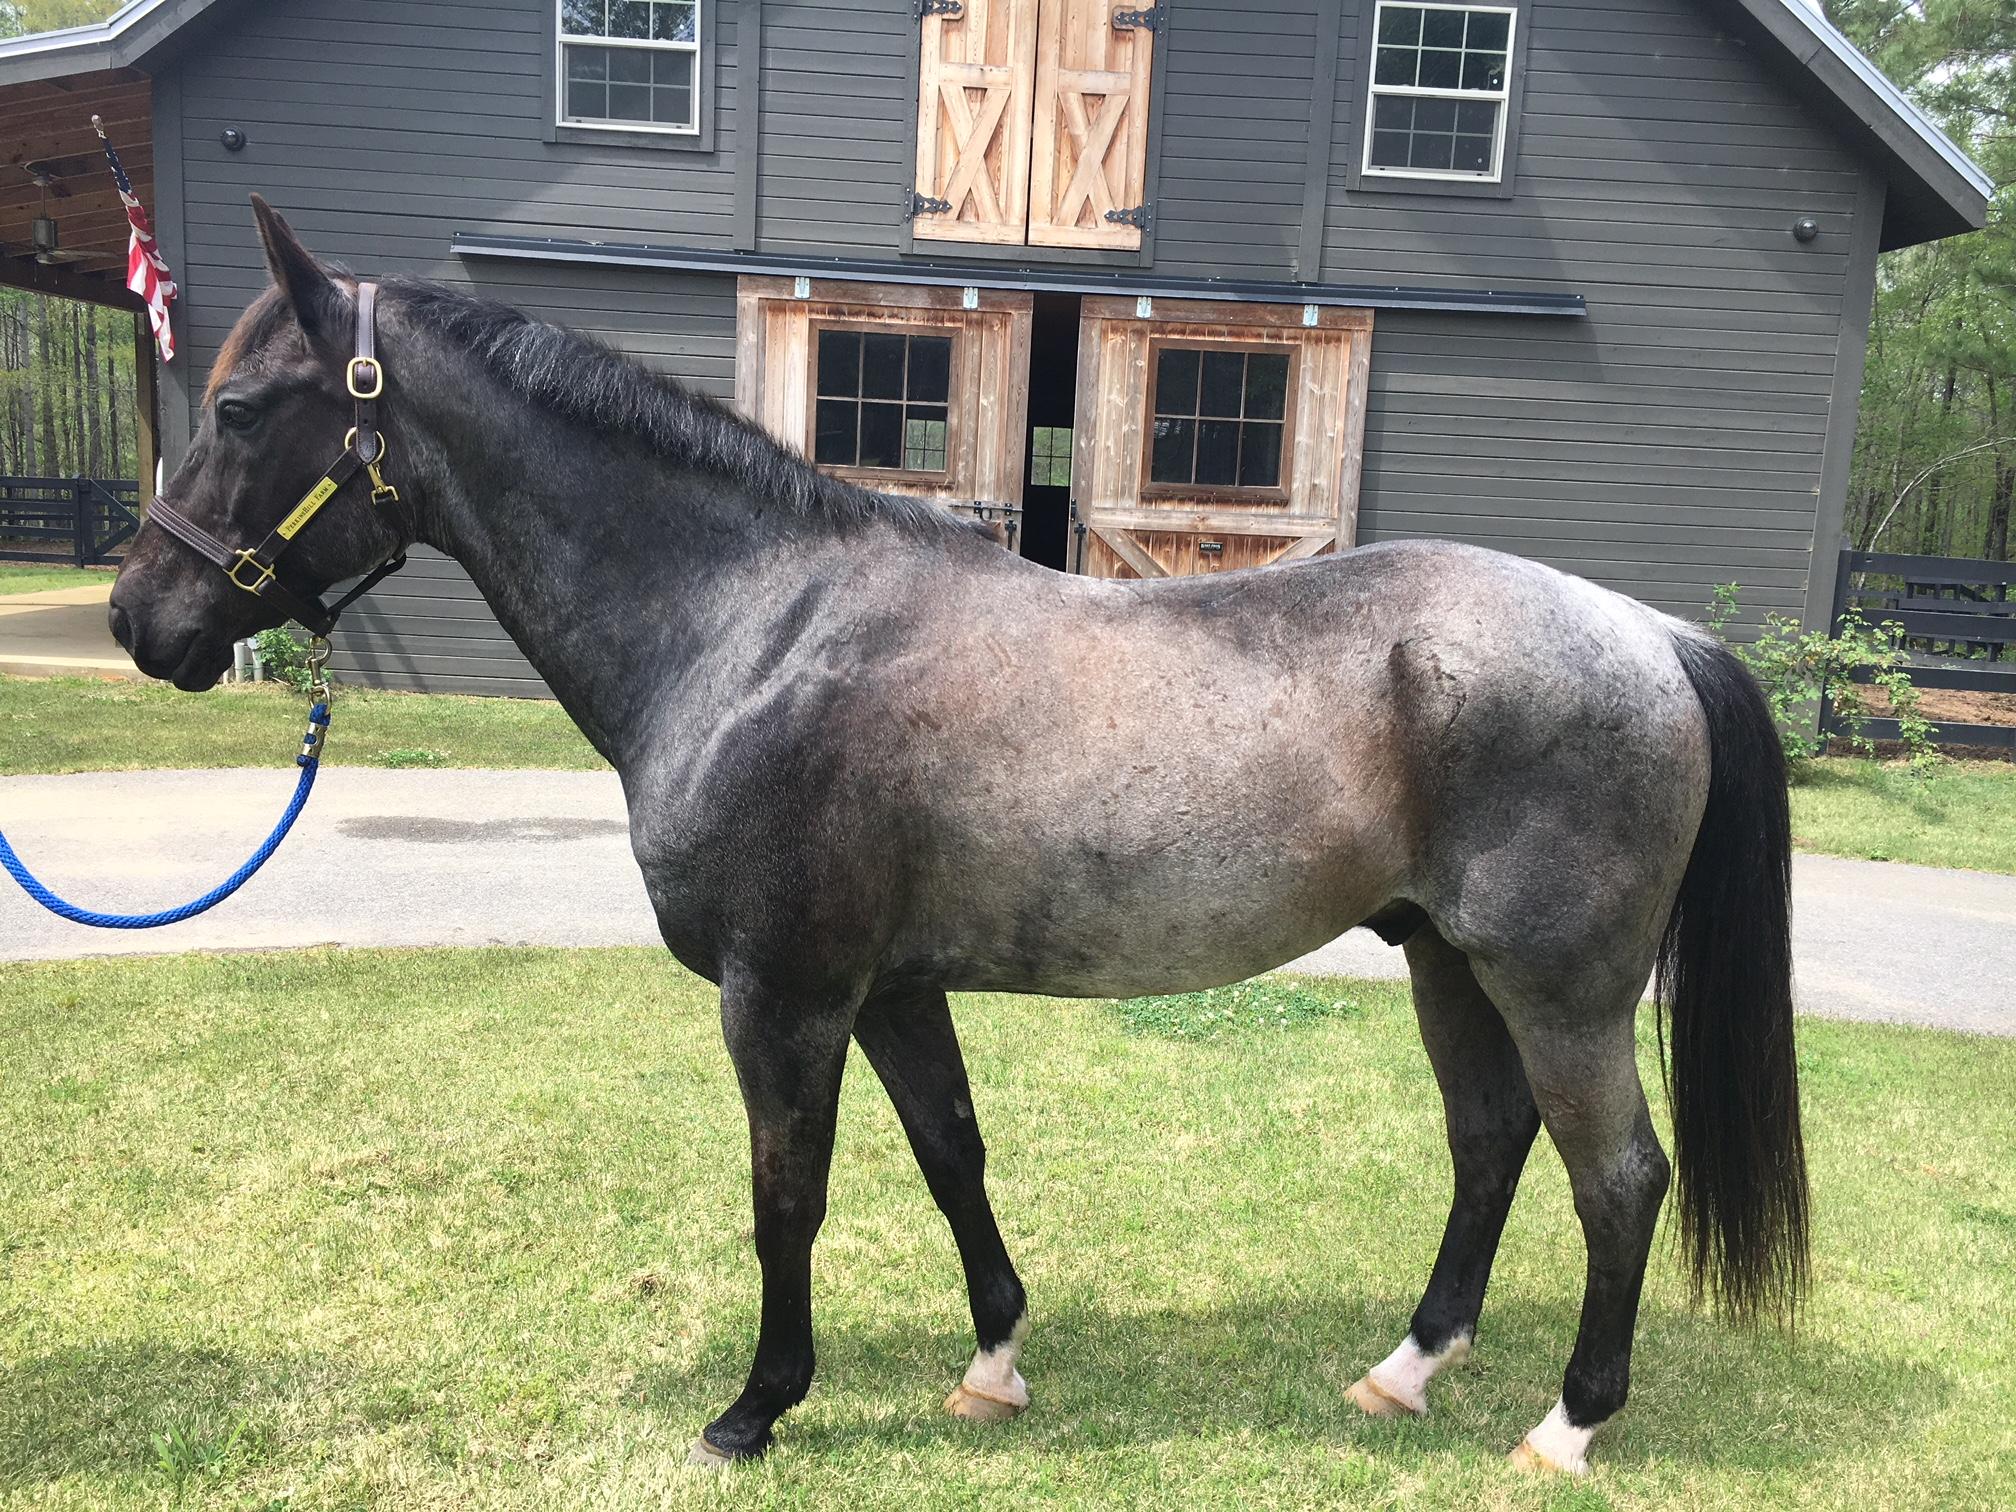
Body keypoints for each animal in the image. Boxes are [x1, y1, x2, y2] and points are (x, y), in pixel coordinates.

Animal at [107, 198, 1807, 1476]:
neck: (755, 624)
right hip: (1448, 963)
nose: (140, 618)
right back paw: (1405, 1368)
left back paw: (1568, 1426)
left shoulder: (785, 994)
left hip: (1558, 988)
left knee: (1618, 1177)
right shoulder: (894, 988)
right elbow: (951, 1154)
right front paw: (993, 1359)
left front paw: (755, 1408)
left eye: (241, 408)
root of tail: (1652, 638)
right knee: (1488, 1141)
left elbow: (787, 1192)